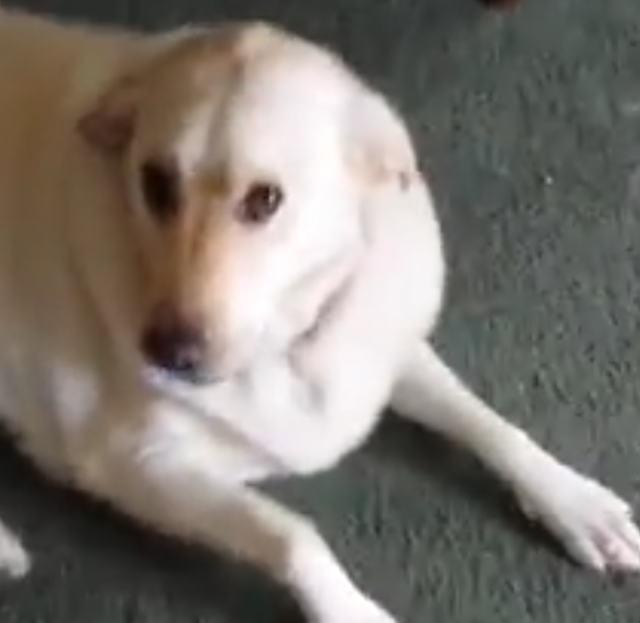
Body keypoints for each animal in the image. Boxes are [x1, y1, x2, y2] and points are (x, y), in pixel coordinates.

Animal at [0, 7, 638, 623]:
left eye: (265, 199)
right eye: (154, 184)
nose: (166, 353)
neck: (287, 345)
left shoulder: (382, 350)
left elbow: (487, 422)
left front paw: (573, 501)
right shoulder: (130, 462)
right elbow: (293, 535)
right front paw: (351, 610)